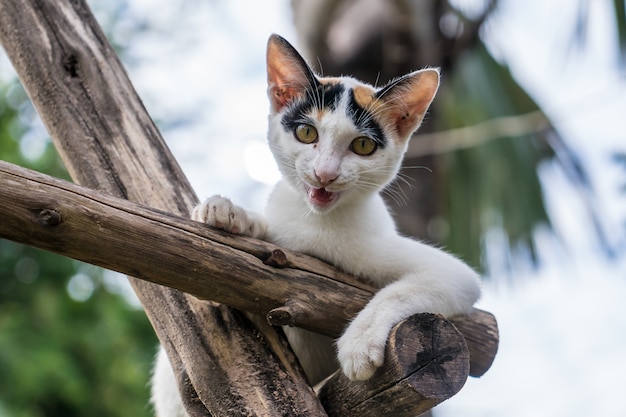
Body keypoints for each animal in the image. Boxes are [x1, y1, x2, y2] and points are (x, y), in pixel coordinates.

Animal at [150, 33, 478, 416]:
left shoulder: (454, 277)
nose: (325, 174)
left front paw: (359, 342)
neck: (317, 223)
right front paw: (230, 213)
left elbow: (403, 290)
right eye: (307, 133)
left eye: (362, 145)